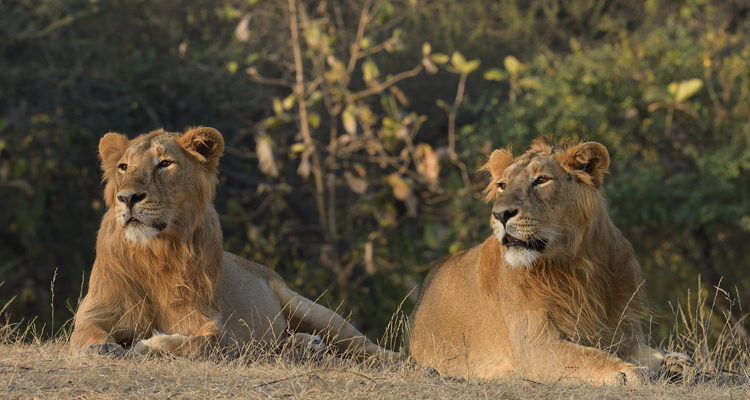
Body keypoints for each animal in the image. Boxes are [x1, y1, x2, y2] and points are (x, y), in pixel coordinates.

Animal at [70, 126, 400, 360]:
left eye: (165, 163)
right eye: (124, 167)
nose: (127, 198)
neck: (155, 253)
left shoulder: (214, 324)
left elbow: (201, 344)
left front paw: (148, 345)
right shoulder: (97, 310)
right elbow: (86, 333)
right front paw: (100, 349)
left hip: (311, 309)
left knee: (370, 349)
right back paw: (306, 347)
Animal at [408, 138, 696, 384]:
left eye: (541, 180)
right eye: (502, 185)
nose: (500, 214)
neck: (576, 264)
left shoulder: (621, 331)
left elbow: (649, 352)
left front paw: (676, 362)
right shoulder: (534, 347)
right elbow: (588, 355)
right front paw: (627, 370)